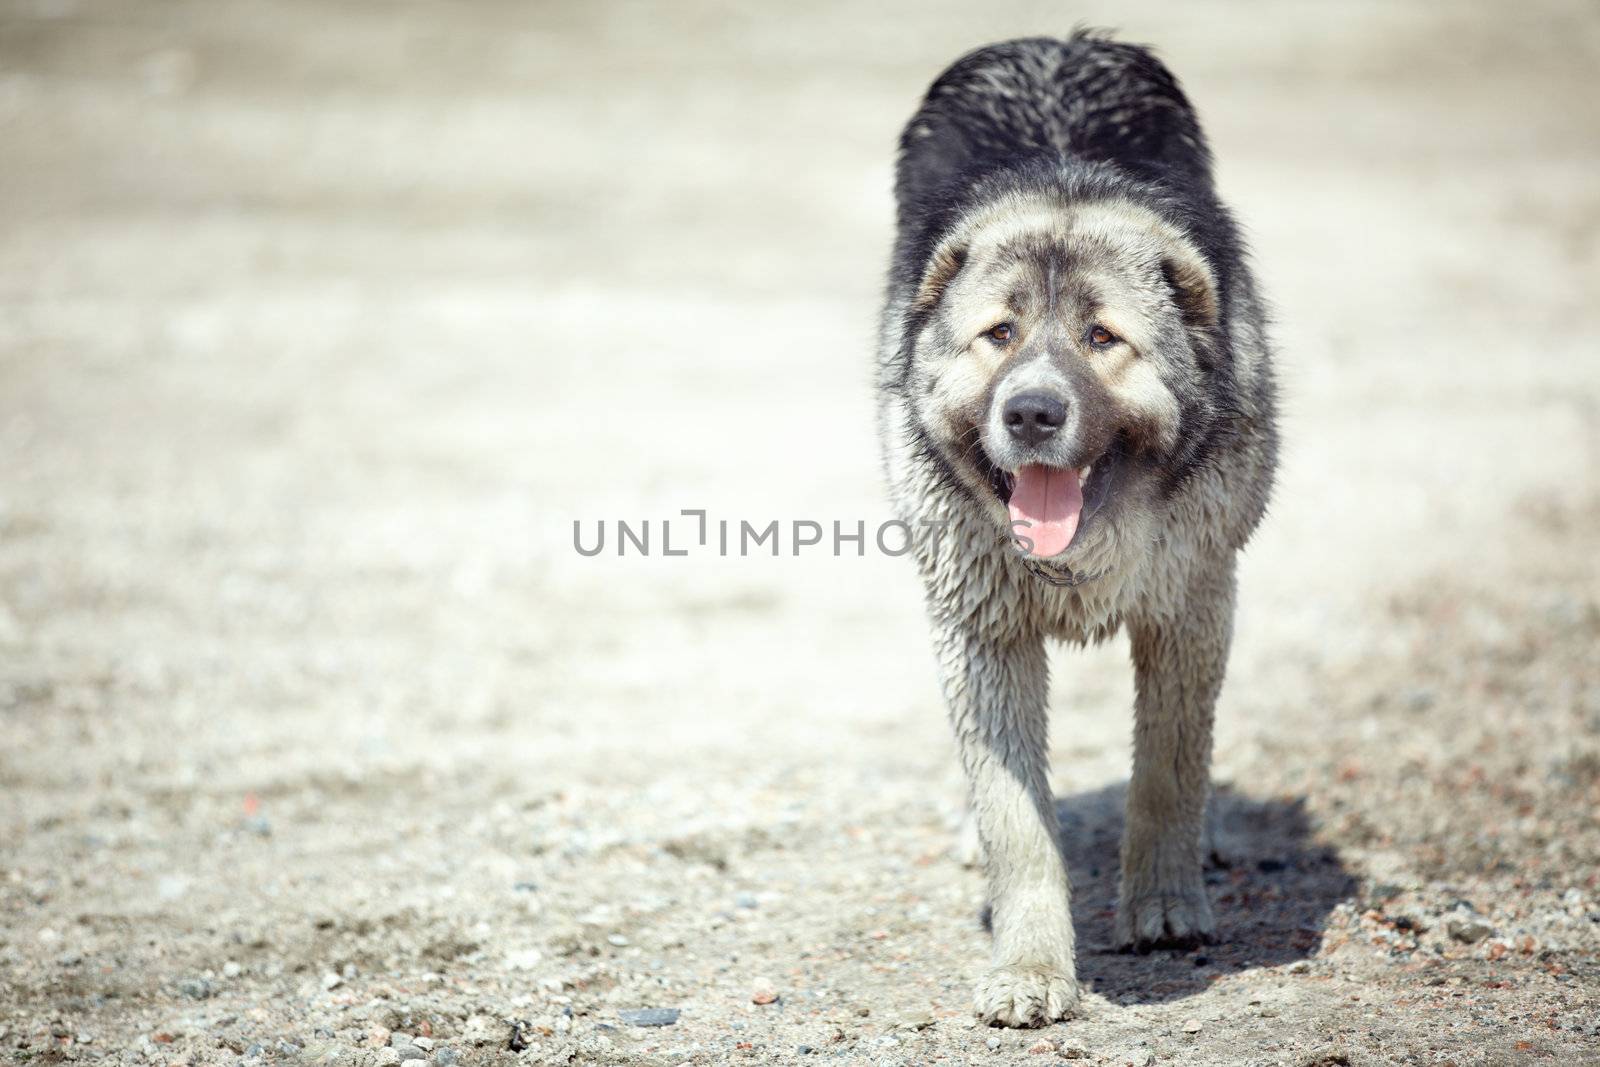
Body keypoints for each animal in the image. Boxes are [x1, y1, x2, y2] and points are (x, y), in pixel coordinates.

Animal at [876, 33, 1273, 1023]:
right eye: (999, 334)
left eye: (1102, 338)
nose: (1030, 412)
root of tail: (1060, 41)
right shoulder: (981, 632)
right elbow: (1016, 818)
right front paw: (1030, 968)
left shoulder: (1190, 605)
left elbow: (1169, 765)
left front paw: (1164, 904)